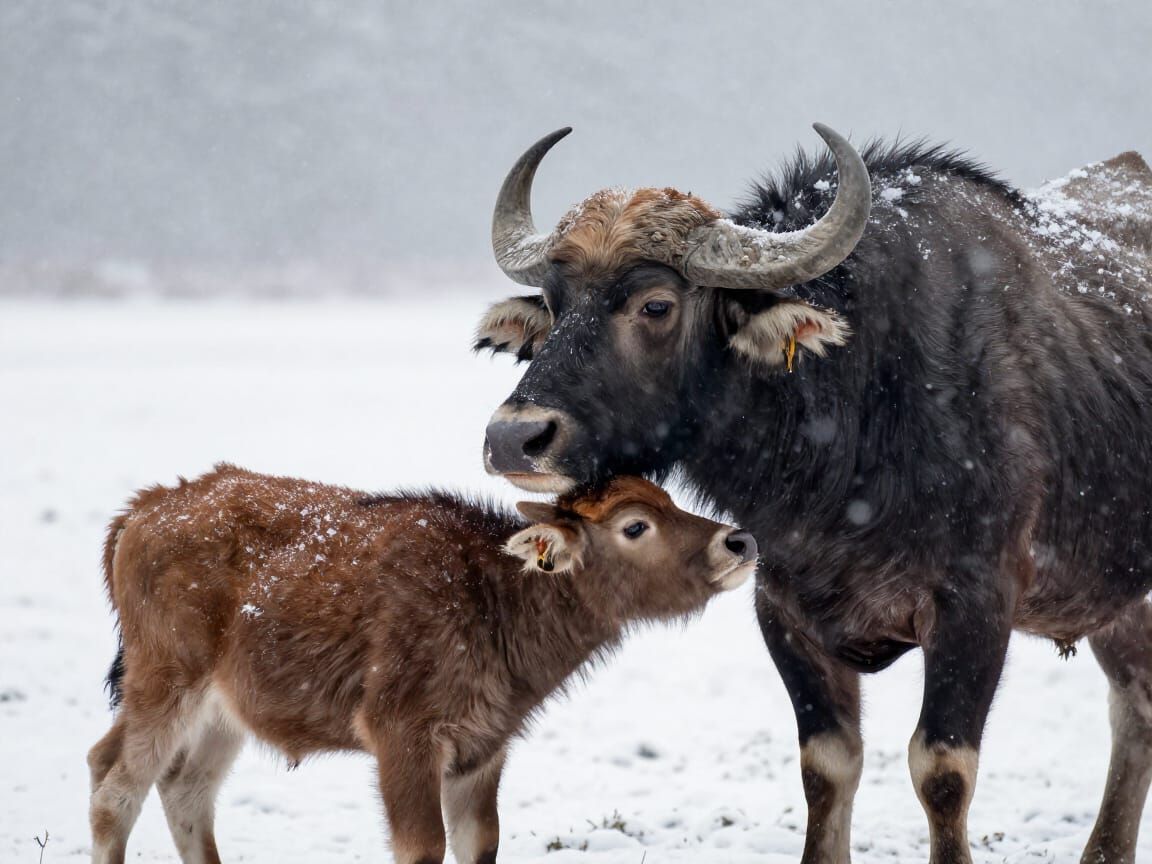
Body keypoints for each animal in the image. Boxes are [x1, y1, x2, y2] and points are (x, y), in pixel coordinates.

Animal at [474, 124, 1152, 863]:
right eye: (556, 304)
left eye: (655, 304)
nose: (514, 438)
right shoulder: (783, 607)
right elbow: (827, 766)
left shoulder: (978, 602)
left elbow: (942, 771)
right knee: (1137, 704)